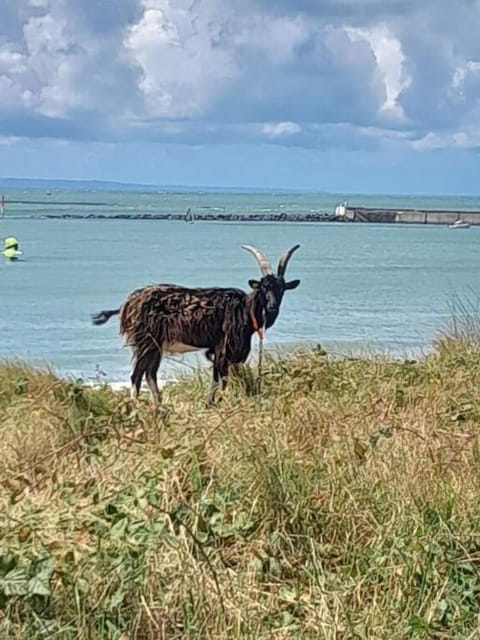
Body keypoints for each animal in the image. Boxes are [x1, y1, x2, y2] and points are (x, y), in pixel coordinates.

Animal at [91, 245, 298, 404]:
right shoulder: (222, 348)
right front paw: (215, 403)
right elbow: (220, 380)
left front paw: (211, 404)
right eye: (263, 287)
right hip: (145, 342)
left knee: (150, 374)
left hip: (155, 346)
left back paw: (159, 407)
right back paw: (136, 407)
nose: (272, 306)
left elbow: (218, 379)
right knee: (137, 375)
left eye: (281, 288)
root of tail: (128, 304)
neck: (244, 309)